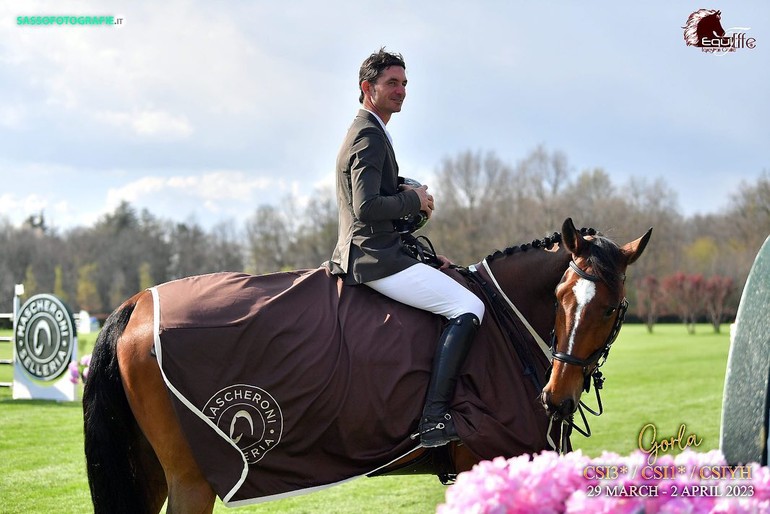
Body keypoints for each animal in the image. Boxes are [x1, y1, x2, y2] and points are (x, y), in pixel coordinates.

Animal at [82, 218, 648, 510]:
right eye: (561, 298)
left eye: (609, 308)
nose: (557, 397)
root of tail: (139, 302)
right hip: (192, 482)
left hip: (153, 477)